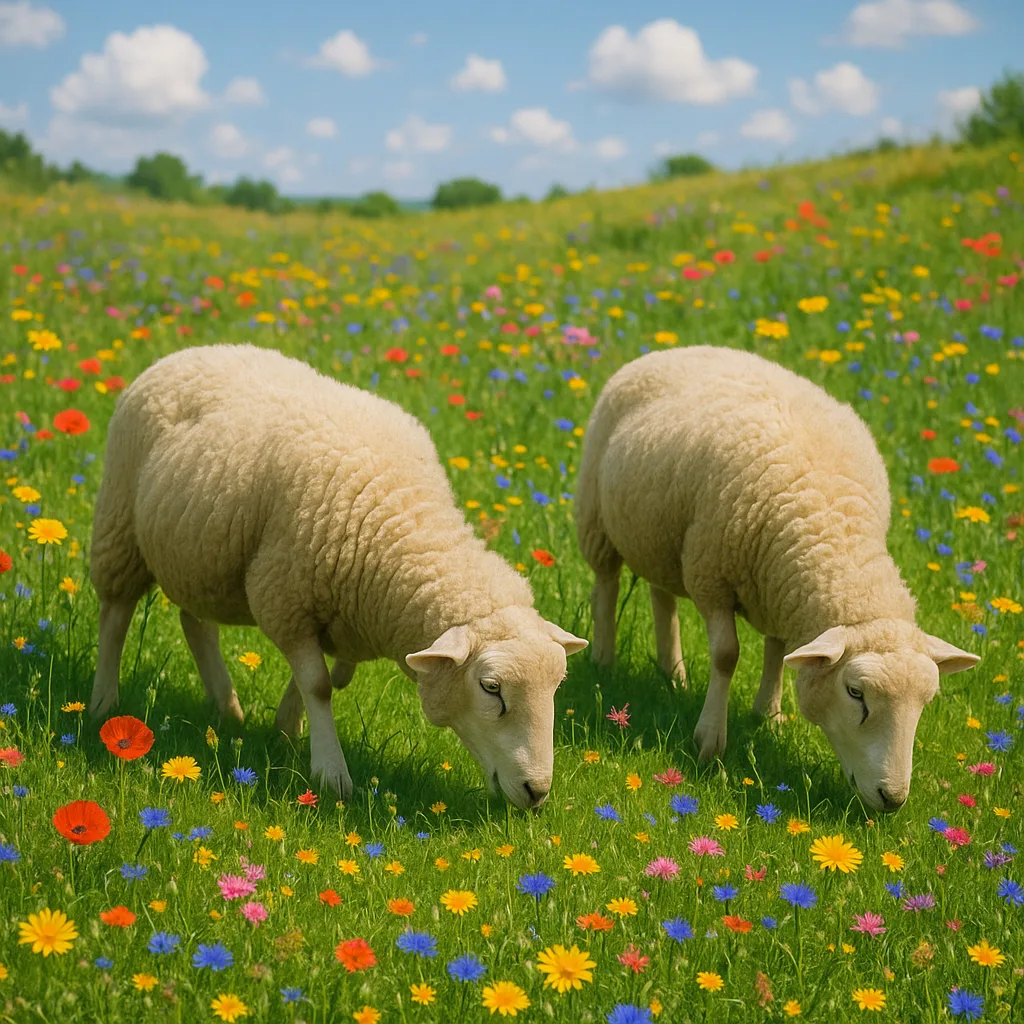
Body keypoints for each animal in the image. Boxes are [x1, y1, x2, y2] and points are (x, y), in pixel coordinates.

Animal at [88, 344, 587, 808]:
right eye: (491, 688)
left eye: (558, 687)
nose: (537, 791)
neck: (402, 513)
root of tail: (192, 350)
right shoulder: (284, 595)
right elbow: (319, 684)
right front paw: (330, 772)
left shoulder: (337, 613)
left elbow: (328, 680)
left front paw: (286, 730)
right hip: (120, 524)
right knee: (115, 616)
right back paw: (102, 702)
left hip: (200, 553)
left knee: (195, 622)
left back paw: (227, 709)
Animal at [575, 345, 978, 812]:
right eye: (855, 693)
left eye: (926, 702)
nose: (892, 798)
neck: (834, 531)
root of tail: (675, 349)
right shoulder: (712, 574)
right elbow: (726, 656)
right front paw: (710, 739)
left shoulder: (777, 588)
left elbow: (781, 652)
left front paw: (769, 715)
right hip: (597, 517)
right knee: (606, 586)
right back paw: (605, 658)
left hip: (662, 537)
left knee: (663, 597)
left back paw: (673, 672)